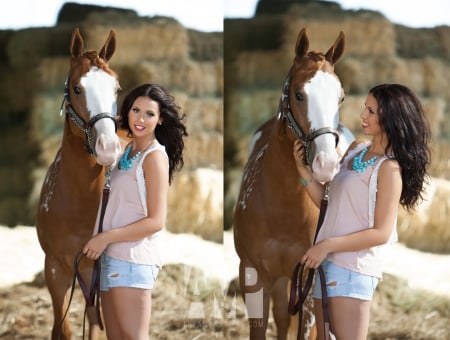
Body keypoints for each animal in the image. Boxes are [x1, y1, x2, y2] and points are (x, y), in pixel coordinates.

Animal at [36, 28, 122, 340]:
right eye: (76, 88)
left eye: (116, 88)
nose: (108, 147)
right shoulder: (54, 269)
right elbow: (62, 329)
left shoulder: (96, 269)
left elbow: (97, 326)